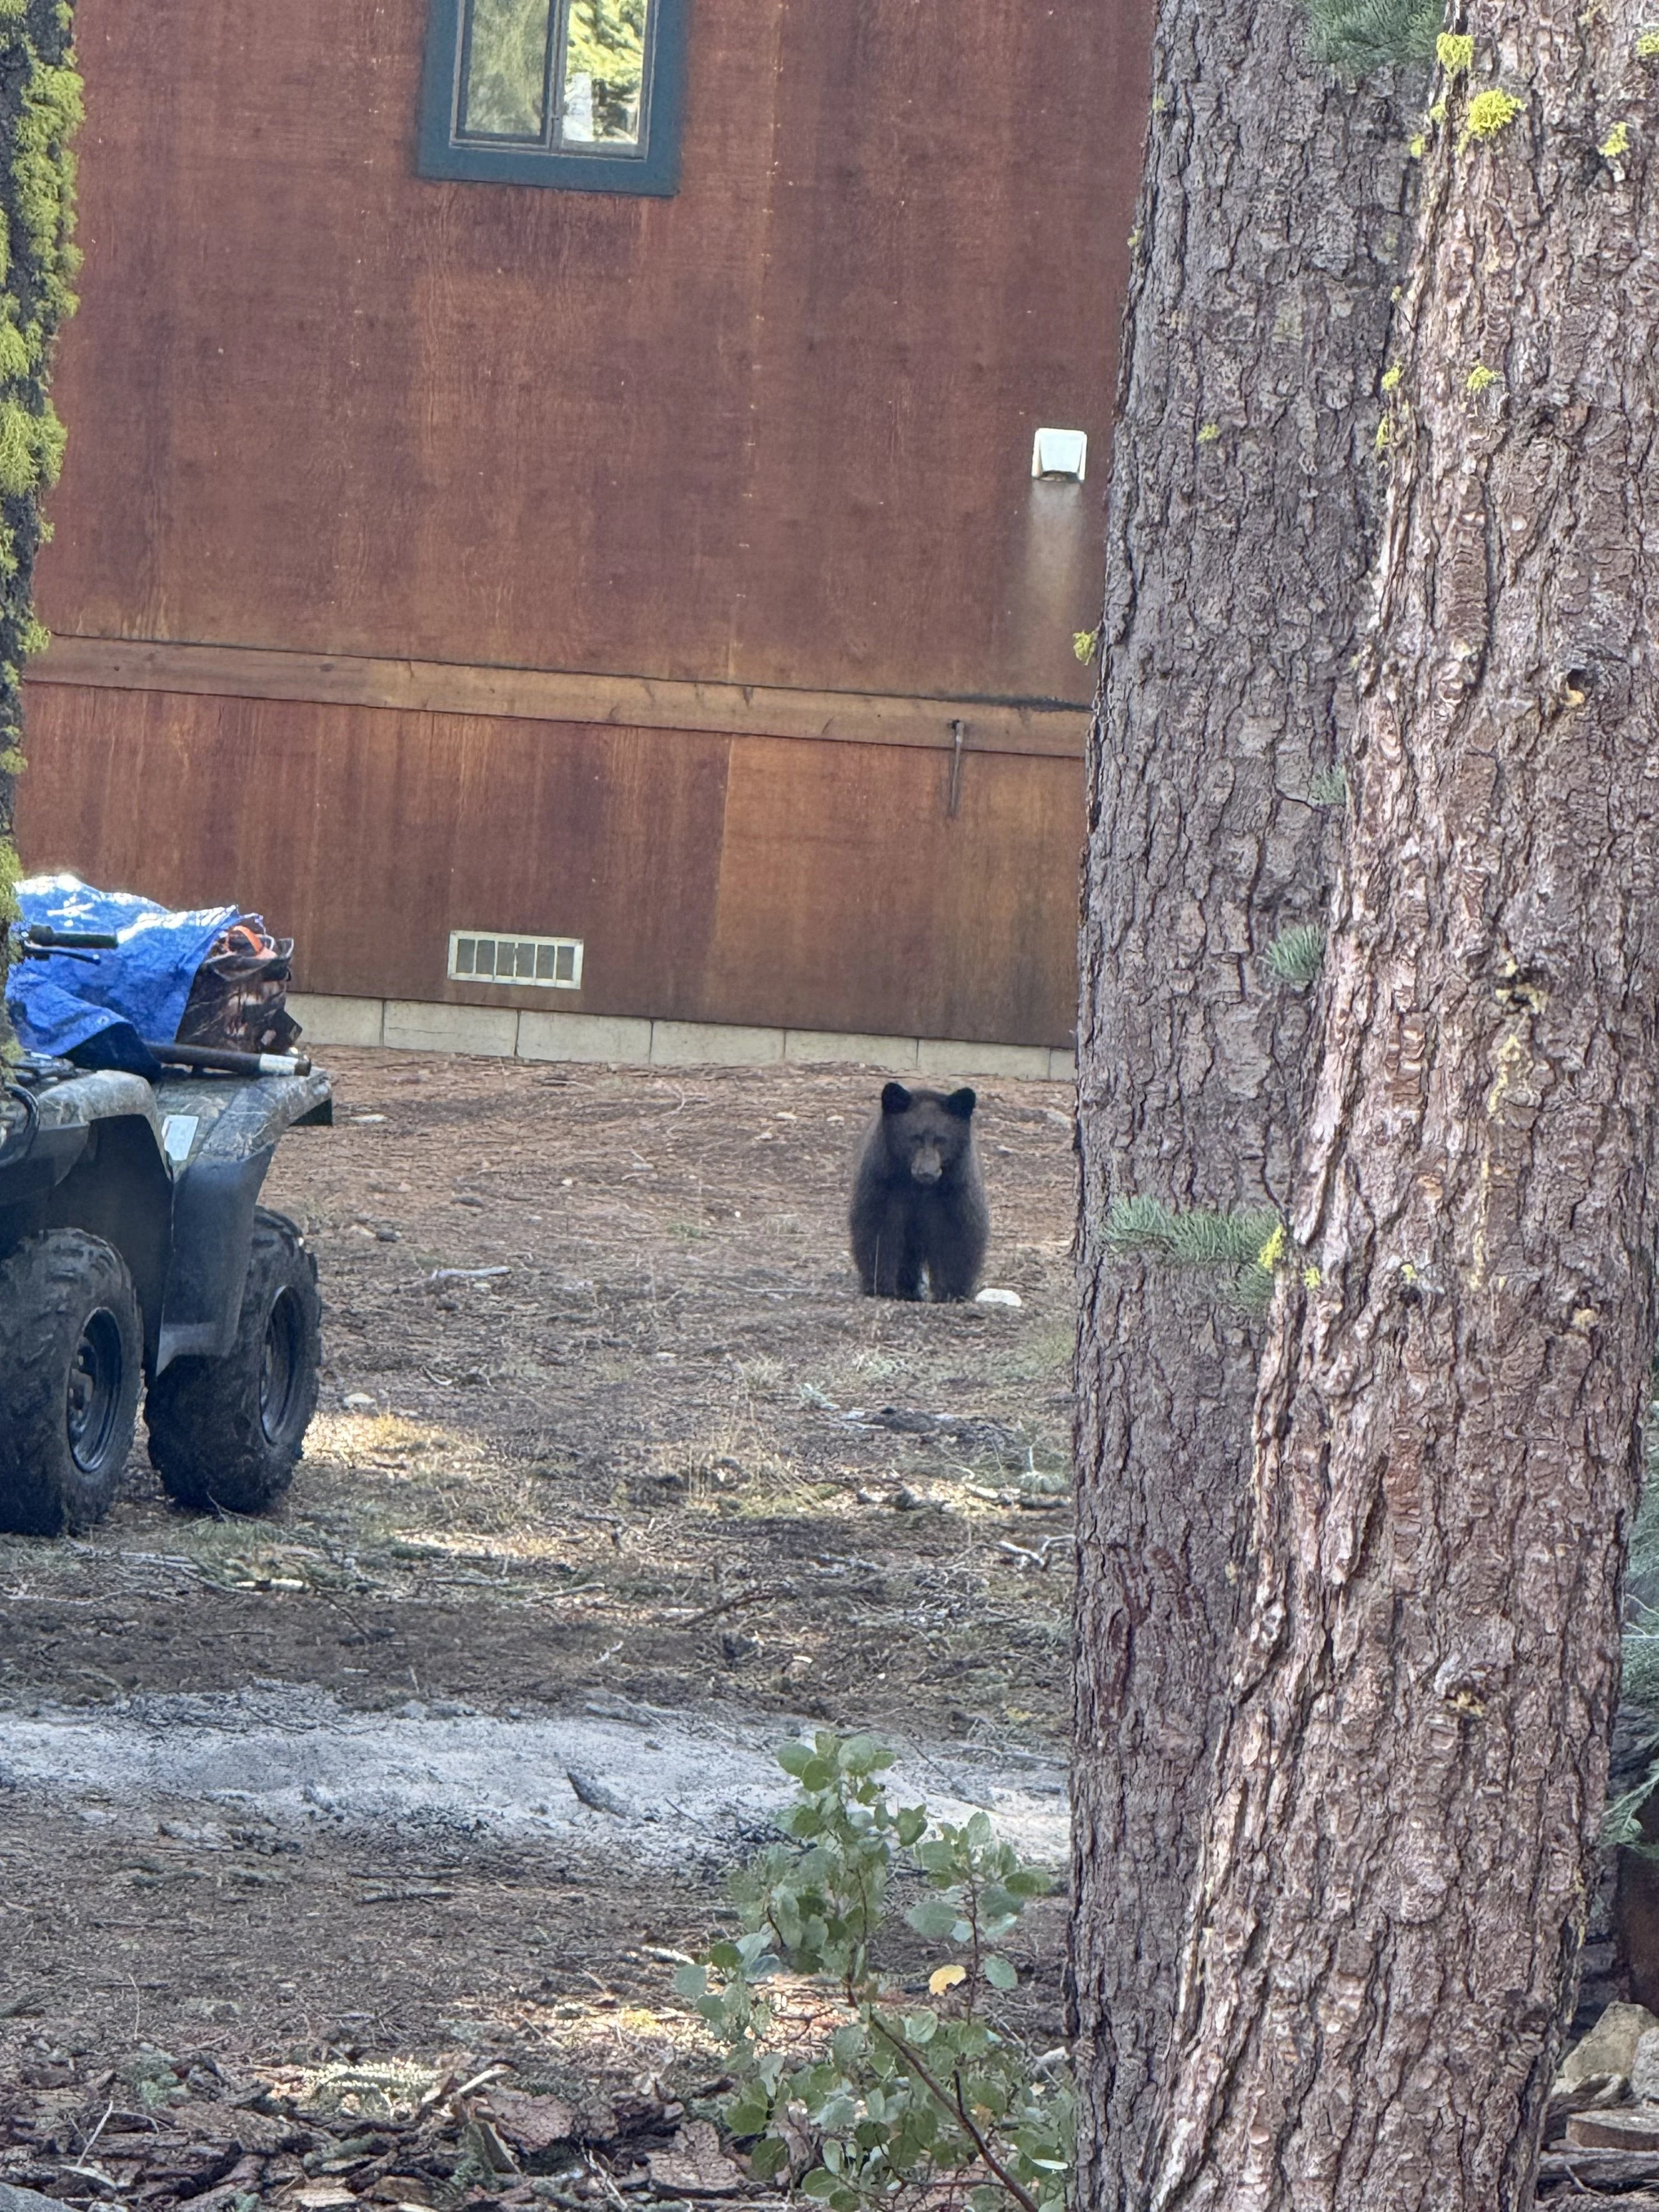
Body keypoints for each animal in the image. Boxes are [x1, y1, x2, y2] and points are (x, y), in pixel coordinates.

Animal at [849, 1083, 989, 1301]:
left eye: (942, 1139)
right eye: (914, 1138)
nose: (927, 1172)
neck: (918, 1187)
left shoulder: (954, 1190)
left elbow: (958, 1234)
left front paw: (953, 1292)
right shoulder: (883, 1184)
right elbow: (878, 1229)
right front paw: (880, 1286)